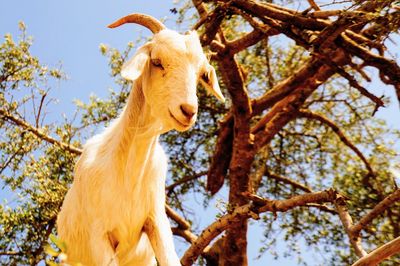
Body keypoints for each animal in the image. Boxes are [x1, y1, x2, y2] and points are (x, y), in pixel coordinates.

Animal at [56, 13, 225, 266]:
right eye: (156, 61)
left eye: (200, 74)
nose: (188, 111)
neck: (127, 171)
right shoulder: (99, 235)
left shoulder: (156, 222)